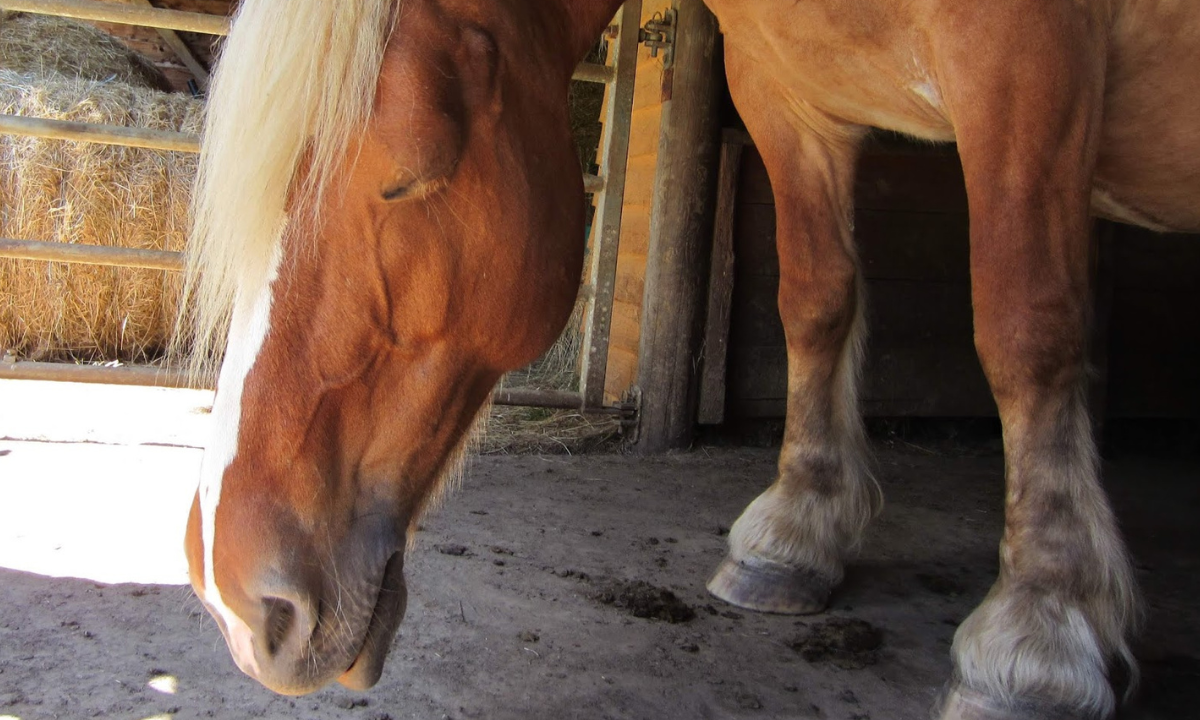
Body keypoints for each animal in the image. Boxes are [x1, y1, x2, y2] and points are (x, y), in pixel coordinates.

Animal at [178, 0, 1200, 717]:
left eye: (410, 172)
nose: (233, 597)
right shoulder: (782, 89)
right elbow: (815, 298)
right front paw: (795, 532)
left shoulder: (1023, 54)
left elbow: (1026, 324)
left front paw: (1043, 626)